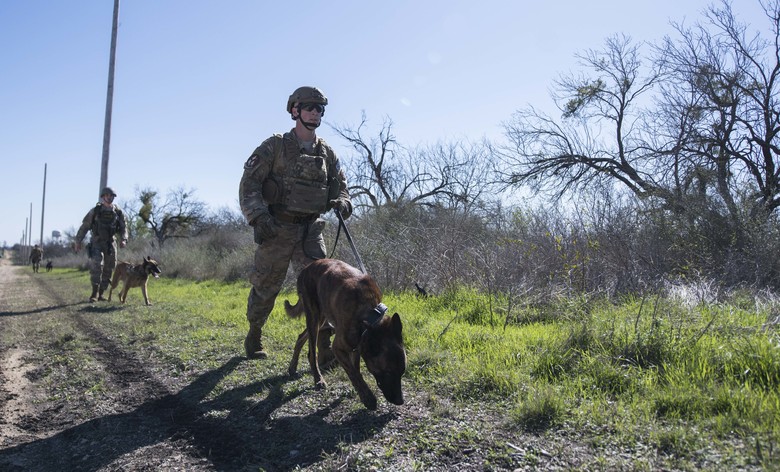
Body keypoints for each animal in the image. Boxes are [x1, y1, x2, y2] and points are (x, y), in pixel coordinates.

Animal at [286, 258, 408, 410]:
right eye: (388, 372)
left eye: (402, 372)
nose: (400, 401)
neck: (370, 316)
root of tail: (306, 268)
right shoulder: (338, 348)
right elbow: (354, 374)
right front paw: (368, 398)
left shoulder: (356, 346)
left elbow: (356, 370)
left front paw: (360, 392)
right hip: (315, 316)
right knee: (311, 353)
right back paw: (318, 379)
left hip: (321, 320)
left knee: (301, 336)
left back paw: (293, 366)